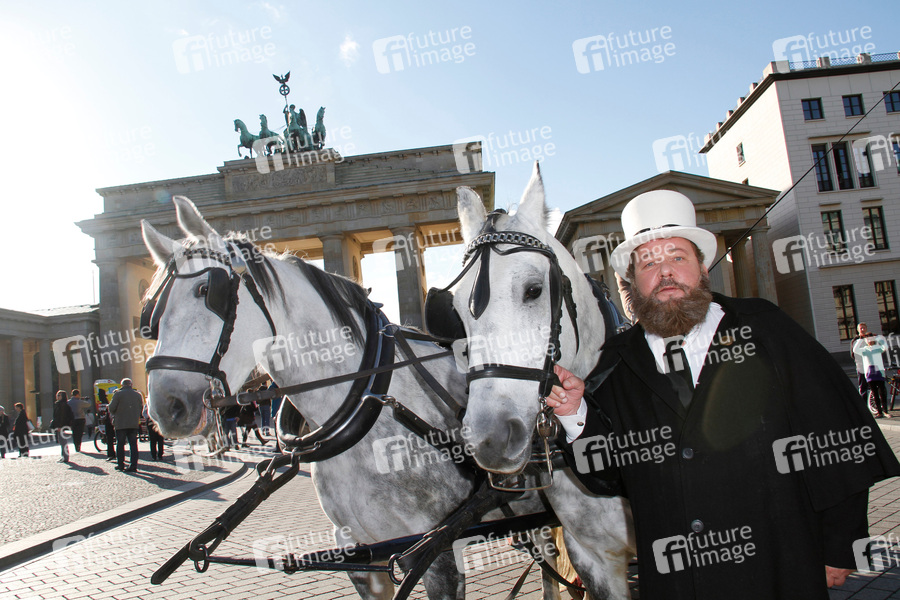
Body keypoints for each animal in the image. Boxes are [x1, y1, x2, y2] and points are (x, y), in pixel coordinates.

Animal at [140, 196, 568, 600]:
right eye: (151, 314)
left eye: (206, 291)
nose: (165, 405)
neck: (366, 409)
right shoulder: (360, 555)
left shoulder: (437, 553)